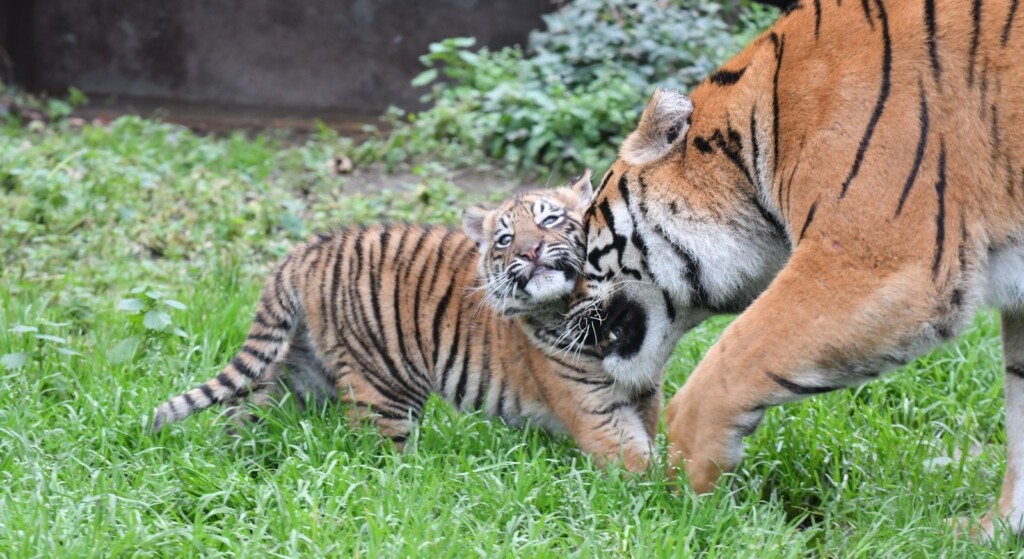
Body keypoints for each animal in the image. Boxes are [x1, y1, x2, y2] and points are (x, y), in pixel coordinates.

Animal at [151, 175, 657, 473]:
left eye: (551, 219)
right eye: (505, 239)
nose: (530, 252)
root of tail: (308, 249)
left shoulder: (644, 394)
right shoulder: (596, 413)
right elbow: (643, 463)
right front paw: (669, 506)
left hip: (301, 370)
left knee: (247, 408)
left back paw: (236, 459)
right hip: (384, 386)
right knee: (378, 458)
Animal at [565, 0, 1024, 537]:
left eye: (584, 234)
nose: (561, 310)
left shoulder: (877, 263)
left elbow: (730, 364)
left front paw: (685, 497)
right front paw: (994, 531)